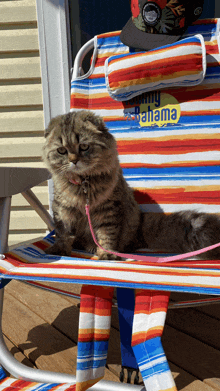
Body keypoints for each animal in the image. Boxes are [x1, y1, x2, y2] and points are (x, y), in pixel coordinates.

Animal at [42, 110, 220, 260]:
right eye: (61, 151)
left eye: (84, 147)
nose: (74, 161)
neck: (84, 183)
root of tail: (140, 224)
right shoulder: (63, 210)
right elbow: (63, 234)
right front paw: (59, 250)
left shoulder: (108, 210)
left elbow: (106, 236)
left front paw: (106, 254)